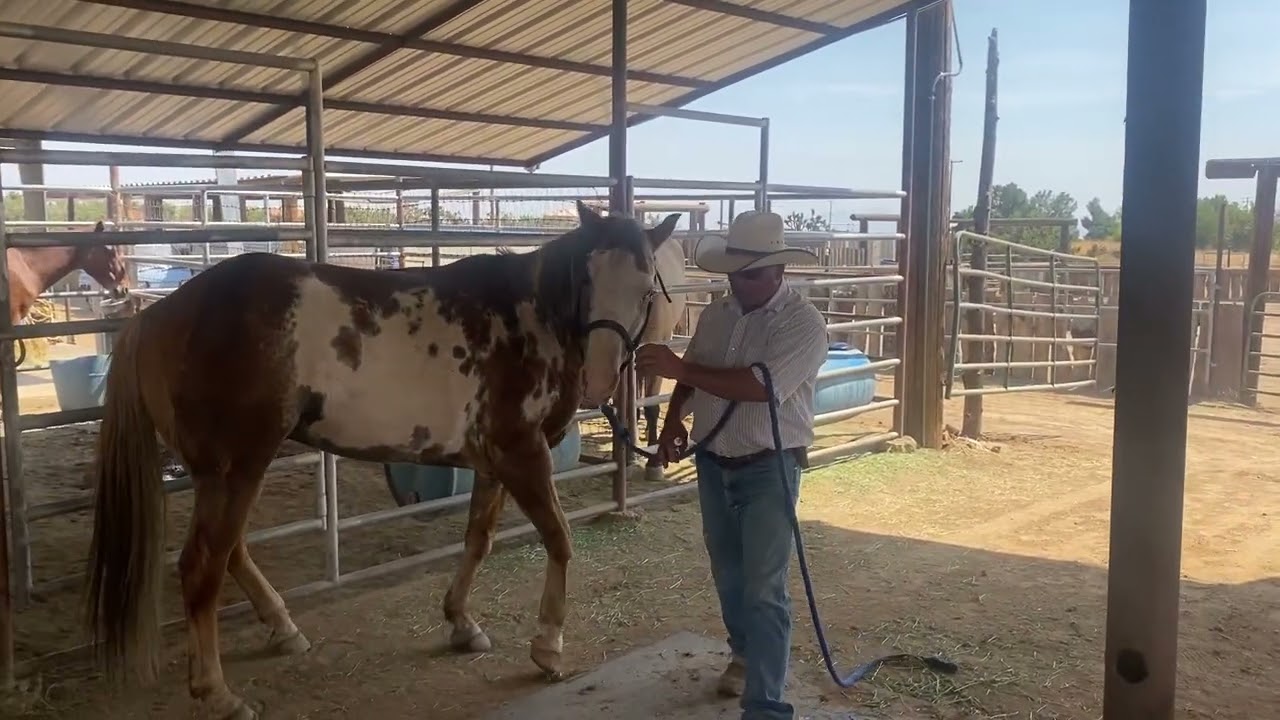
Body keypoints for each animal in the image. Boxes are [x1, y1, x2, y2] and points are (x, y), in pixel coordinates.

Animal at [83, 201, 680, 720]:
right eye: (587, 280)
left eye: (646, 287)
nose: (601, 379)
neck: (525, 320)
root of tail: (158, 314)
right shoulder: (523, 453)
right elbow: (558, 539)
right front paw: (548, 647)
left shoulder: (492, 462)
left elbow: (477, 540)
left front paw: (461, 623)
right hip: (237, 468)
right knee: (201, 566)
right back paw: (218, 694)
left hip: (227, 472)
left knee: (231, 553)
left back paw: (283, 629)